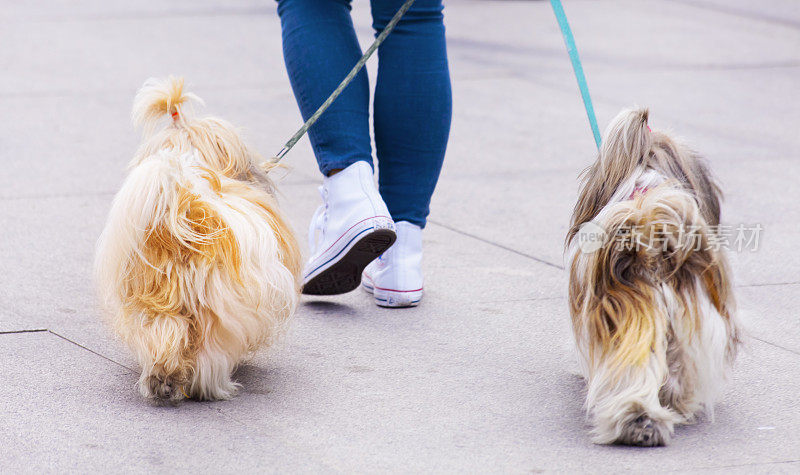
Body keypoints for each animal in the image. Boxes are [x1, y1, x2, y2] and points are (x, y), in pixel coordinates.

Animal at [95, 77, 302, 402]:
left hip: (156, 299)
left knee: (164, 333)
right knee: (209, 352)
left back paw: (161, 379)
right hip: (216, 310)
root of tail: (183, 210)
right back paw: (209, 385)